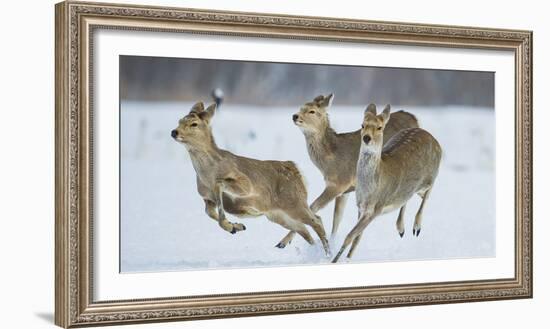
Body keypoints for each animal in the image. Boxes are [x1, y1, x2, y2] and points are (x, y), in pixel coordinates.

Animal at [170, 102, 330, 254]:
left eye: (194, 124)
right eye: (179, 121)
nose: (174, 132)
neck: (207, 175)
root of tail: (295, 169)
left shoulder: (246, 184)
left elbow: (220, 185)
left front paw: (232, 225)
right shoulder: (206, 198)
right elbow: (209, 213)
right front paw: (236, 227)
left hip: (294, 202)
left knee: (317, 221)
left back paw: (327, 252)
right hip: (277, 215)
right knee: (304, 229)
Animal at [294, 93, 418, 243]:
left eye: (312, 111)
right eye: (301, 107)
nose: (295, 116)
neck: (329, 160)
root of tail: (414, 117)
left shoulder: (339, 182)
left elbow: (313, 207)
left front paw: (283, 242)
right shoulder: (345, 190)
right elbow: (337, 218)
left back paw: (403, 228)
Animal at [332, 104, 444, 262]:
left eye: (380, 127)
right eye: (362, 125)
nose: (366, 138)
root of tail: (434, 139)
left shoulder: (377, 208)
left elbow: (350, 236)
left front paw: (334, 260)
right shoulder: (360, 206)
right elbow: (357, 238)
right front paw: (346, 259)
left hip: (430, 176)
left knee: (428, 192)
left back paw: (416, 227)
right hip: (412, 189)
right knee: (410, 197)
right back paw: (401, 228)